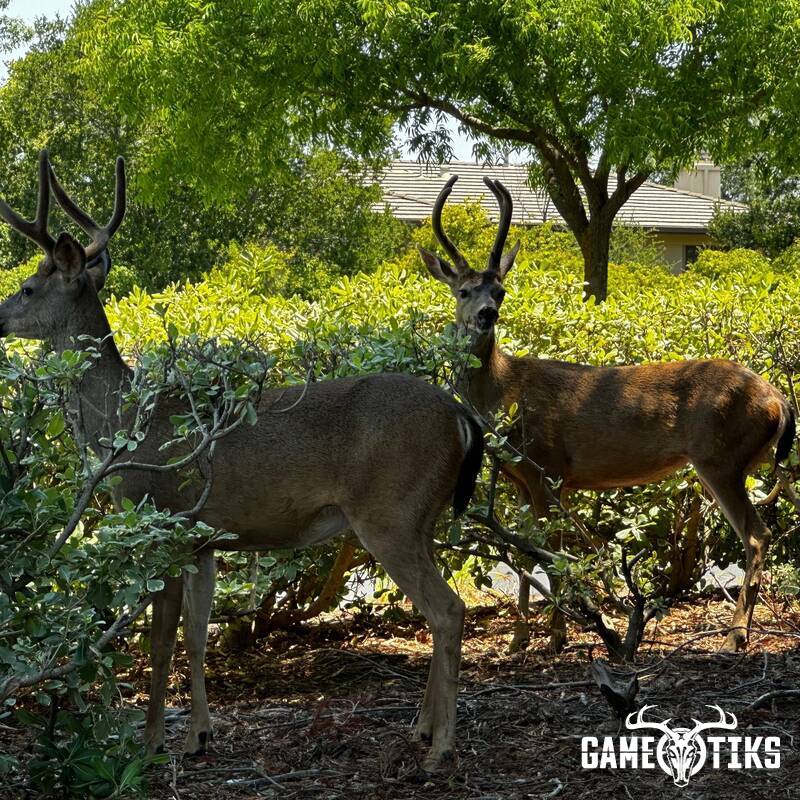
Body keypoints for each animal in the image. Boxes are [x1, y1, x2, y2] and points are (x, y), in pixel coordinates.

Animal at [0, 152, 486, 770]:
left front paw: (152, 744)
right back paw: (422, 727)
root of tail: (461, 415)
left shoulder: (164, 521)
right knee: (441, 605)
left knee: (447, 610)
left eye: (28, 287)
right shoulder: (205, 540)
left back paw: (440, 748)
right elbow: (197, 635)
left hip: (390, 514)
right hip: (423, 516)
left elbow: (161, 643)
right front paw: (199, 734)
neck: (123, 426)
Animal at [418, 174, 795, 654]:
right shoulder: (522, 480)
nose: (487, 314)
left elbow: (551, 551)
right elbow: (526, 551)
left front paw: (558, 634)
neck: (505, 389)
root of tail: (778, 399)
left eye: (500, 290)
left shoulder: (548, 467)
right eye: (463, 290)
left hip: (721, 458)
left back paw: (734, 636)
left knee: (757, 535)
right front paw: (520, 637)